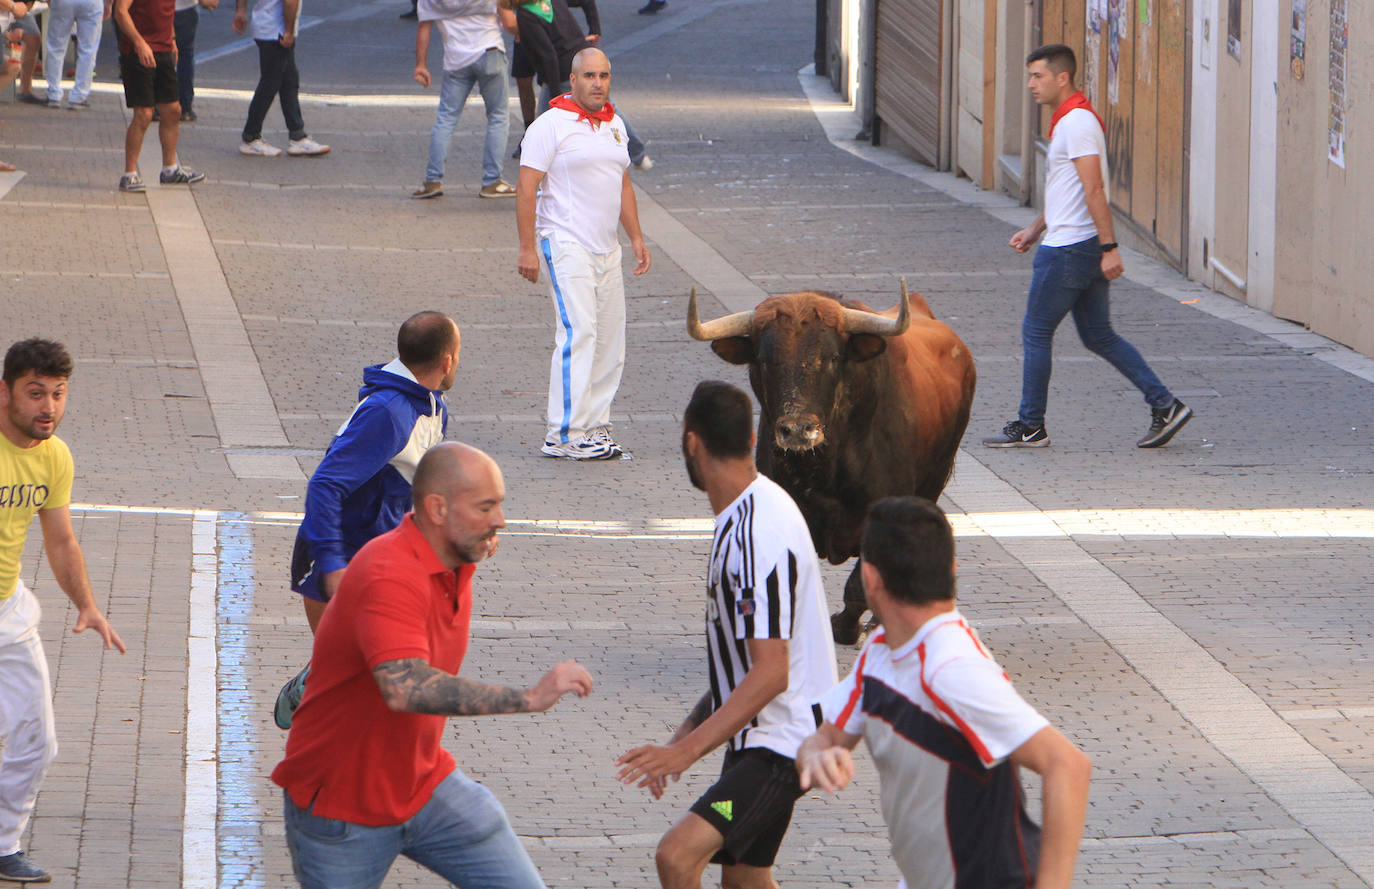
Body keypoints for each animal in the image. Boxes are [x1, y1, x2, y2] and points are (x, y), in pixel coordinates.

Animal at [687, 281, 978, 643]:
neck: (825, 471)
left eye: (832, 358)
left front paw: (845, 626)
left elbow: (858, 587)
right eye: (765, 360)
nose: (798, 429)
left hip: (933, 479)